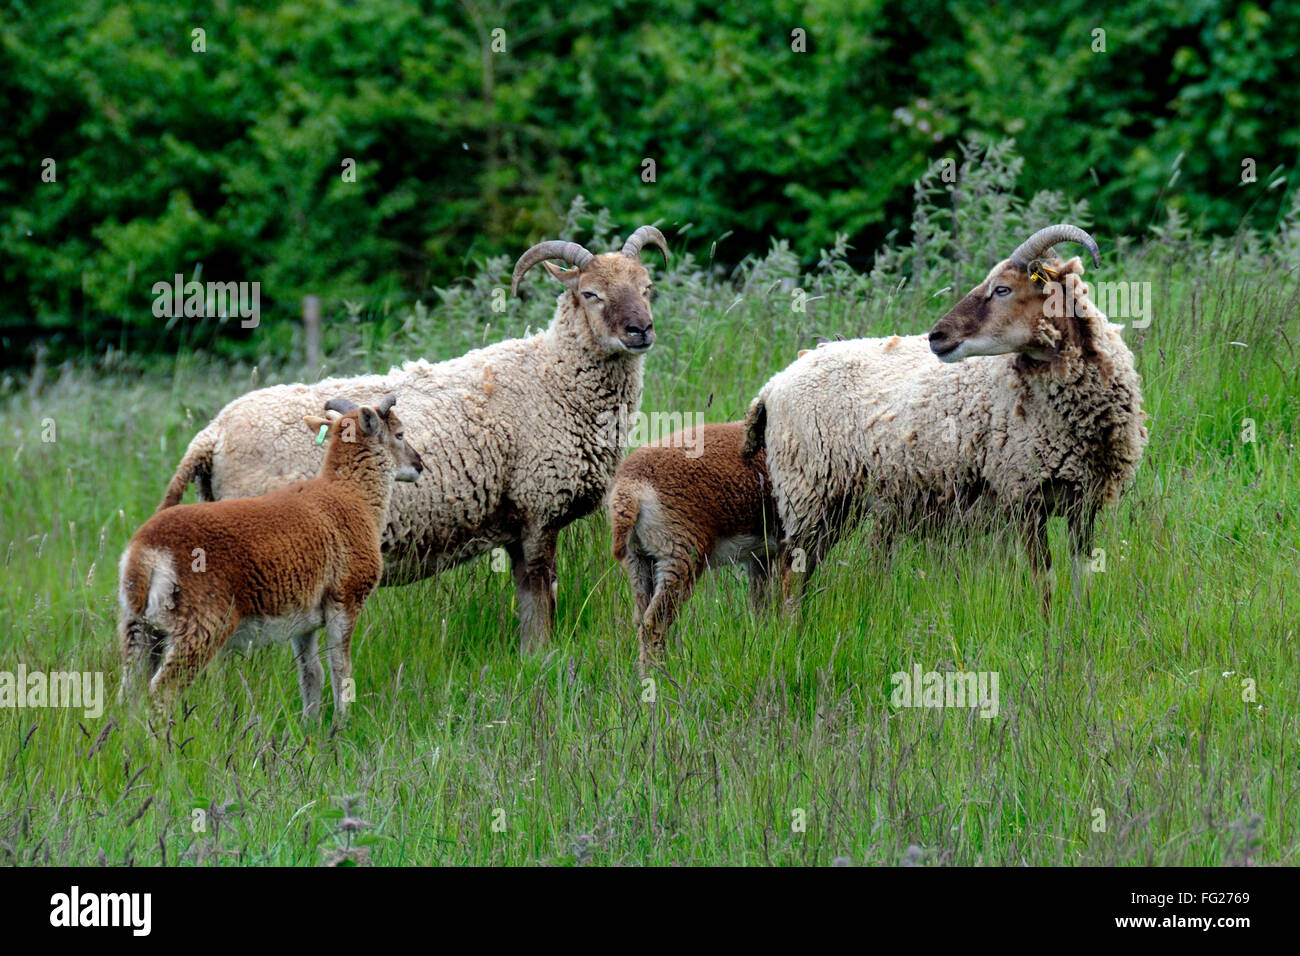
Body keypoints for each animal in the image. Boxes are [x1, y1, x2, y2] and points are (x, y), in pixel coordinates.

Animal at [154, 227, 670, 655]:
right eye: (590, 294)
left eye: (647, 287)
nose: (640, 330)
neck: (553, 376)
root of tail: (212, 434)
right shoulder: (538, 510)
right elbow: (542, 601)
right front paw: (545, 661)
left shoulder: (517, 525)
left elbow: (529, 605)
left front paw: (529, 661)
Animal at [605, 421, 774, 671]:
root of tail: (629, 487)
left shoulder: (761, 554)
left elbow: (763, 603)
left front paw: (767, 635)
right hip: (679, 553)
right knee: (655, 621)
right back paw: (660, 674)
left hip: (639, 559)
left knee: (641, 619)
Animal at [743, 223, 1149, 613]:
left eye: (1002, 289)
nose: (936, 336)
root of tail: (772, 385)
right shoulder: (1024, 494)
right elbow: (1043, 582)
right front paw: (1048, 632)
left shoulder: (1085, 502)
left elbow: (1083, 580)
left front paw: (1078, 628)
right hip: (809, 491)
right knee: (790, 574)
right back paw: (791, 628)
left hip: (833, 502)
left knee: (803, 571)